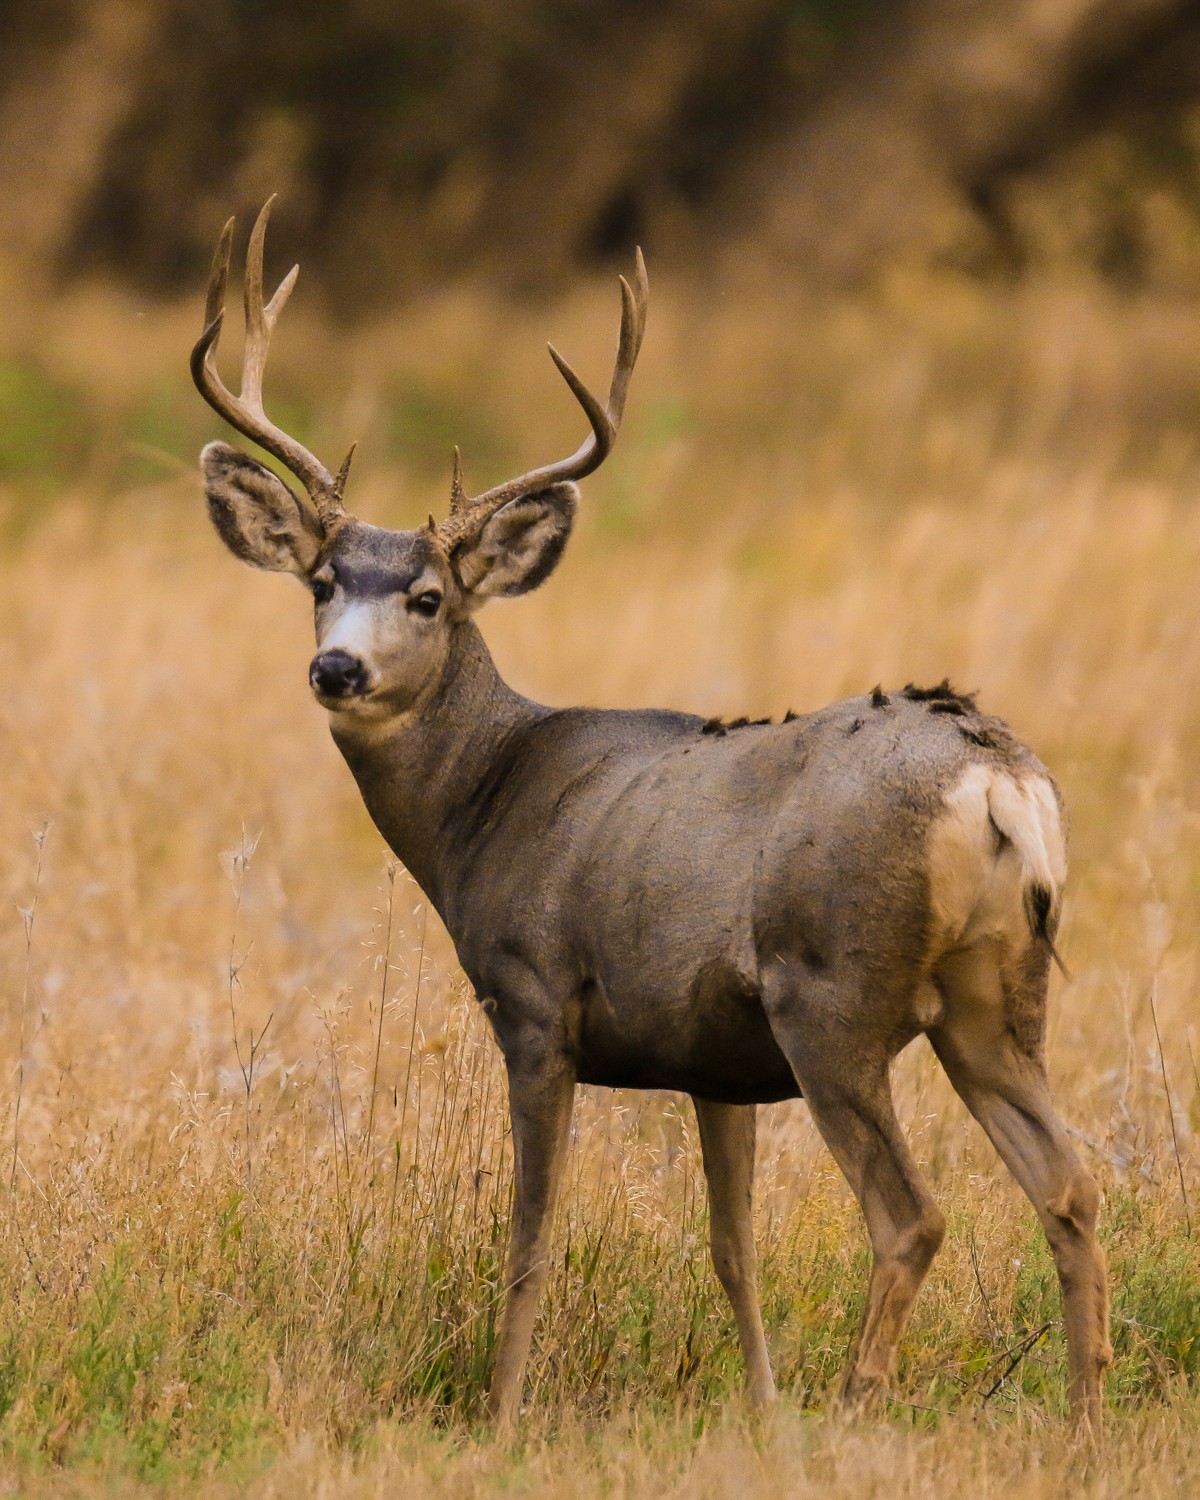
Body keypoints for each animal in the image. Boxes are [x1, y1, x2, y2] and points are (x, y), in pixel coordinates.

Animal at [192, 199, 1110, 1428]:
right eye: (320, 582)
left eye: (427, 598)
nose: (335, 668)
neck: (487, 800)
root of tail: (997, 775)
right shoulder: (713, 1058)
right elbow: (734, 1251)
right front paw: (762, 1414)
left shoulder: (536, 1002)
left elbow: (529, 1238)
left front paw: (501, 1417)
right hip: (997, 993)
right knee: (1071, 1184)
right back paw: (1082, 1424)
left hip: (833, 991)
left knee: (912, 1215)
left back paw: (858, 1410)